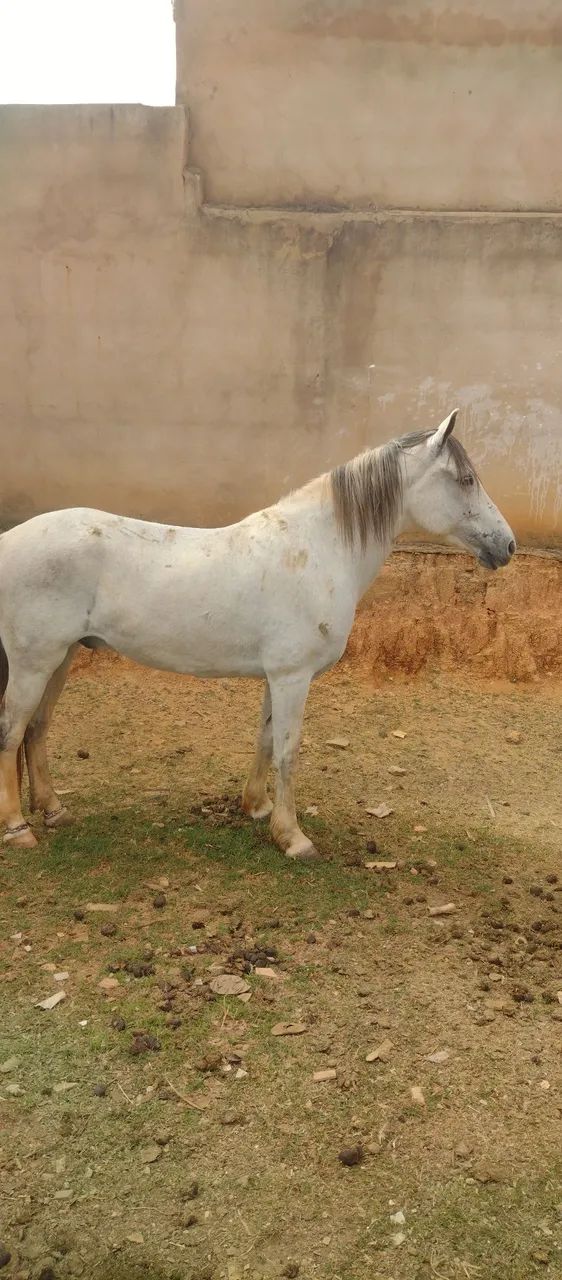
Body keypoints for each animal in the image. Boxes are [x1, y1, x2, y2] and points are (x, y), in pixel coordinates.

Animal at [0, 409, 515, 859]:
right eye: (466, 480)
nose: (507, 545)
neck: (316, 549)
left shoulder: (278, 676)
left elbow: (266, 740)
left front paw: (258, 808)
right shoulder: (293, 676)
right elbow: (288, 750)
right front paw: (293, 838)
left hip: (62, 656)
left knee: (37, 729)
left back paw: (54, 811)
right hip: (34, 662)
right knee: (12, 730)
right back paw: (19, 829)